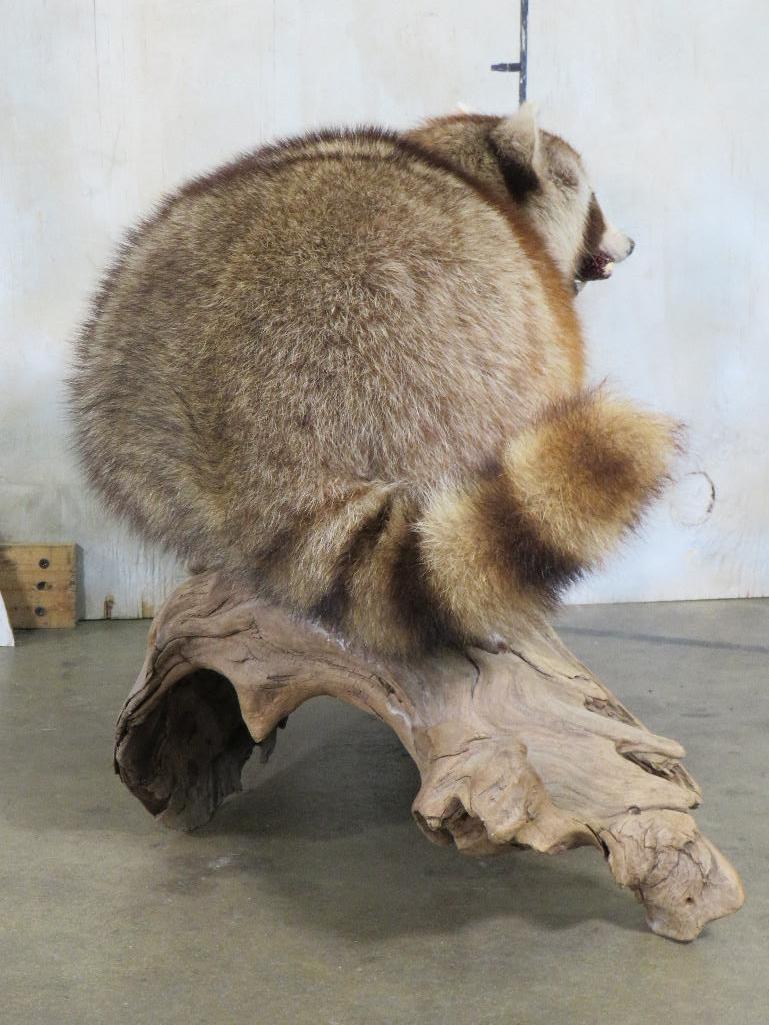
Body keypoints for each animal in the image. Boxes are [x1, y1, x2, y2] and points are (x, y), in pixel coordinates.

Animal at [69, 104, 676, 656]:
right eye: (593, 204)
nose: (631, 243)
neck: (456, 161)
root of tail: (257, 453)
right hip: (441, 354)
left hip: (123, 375)